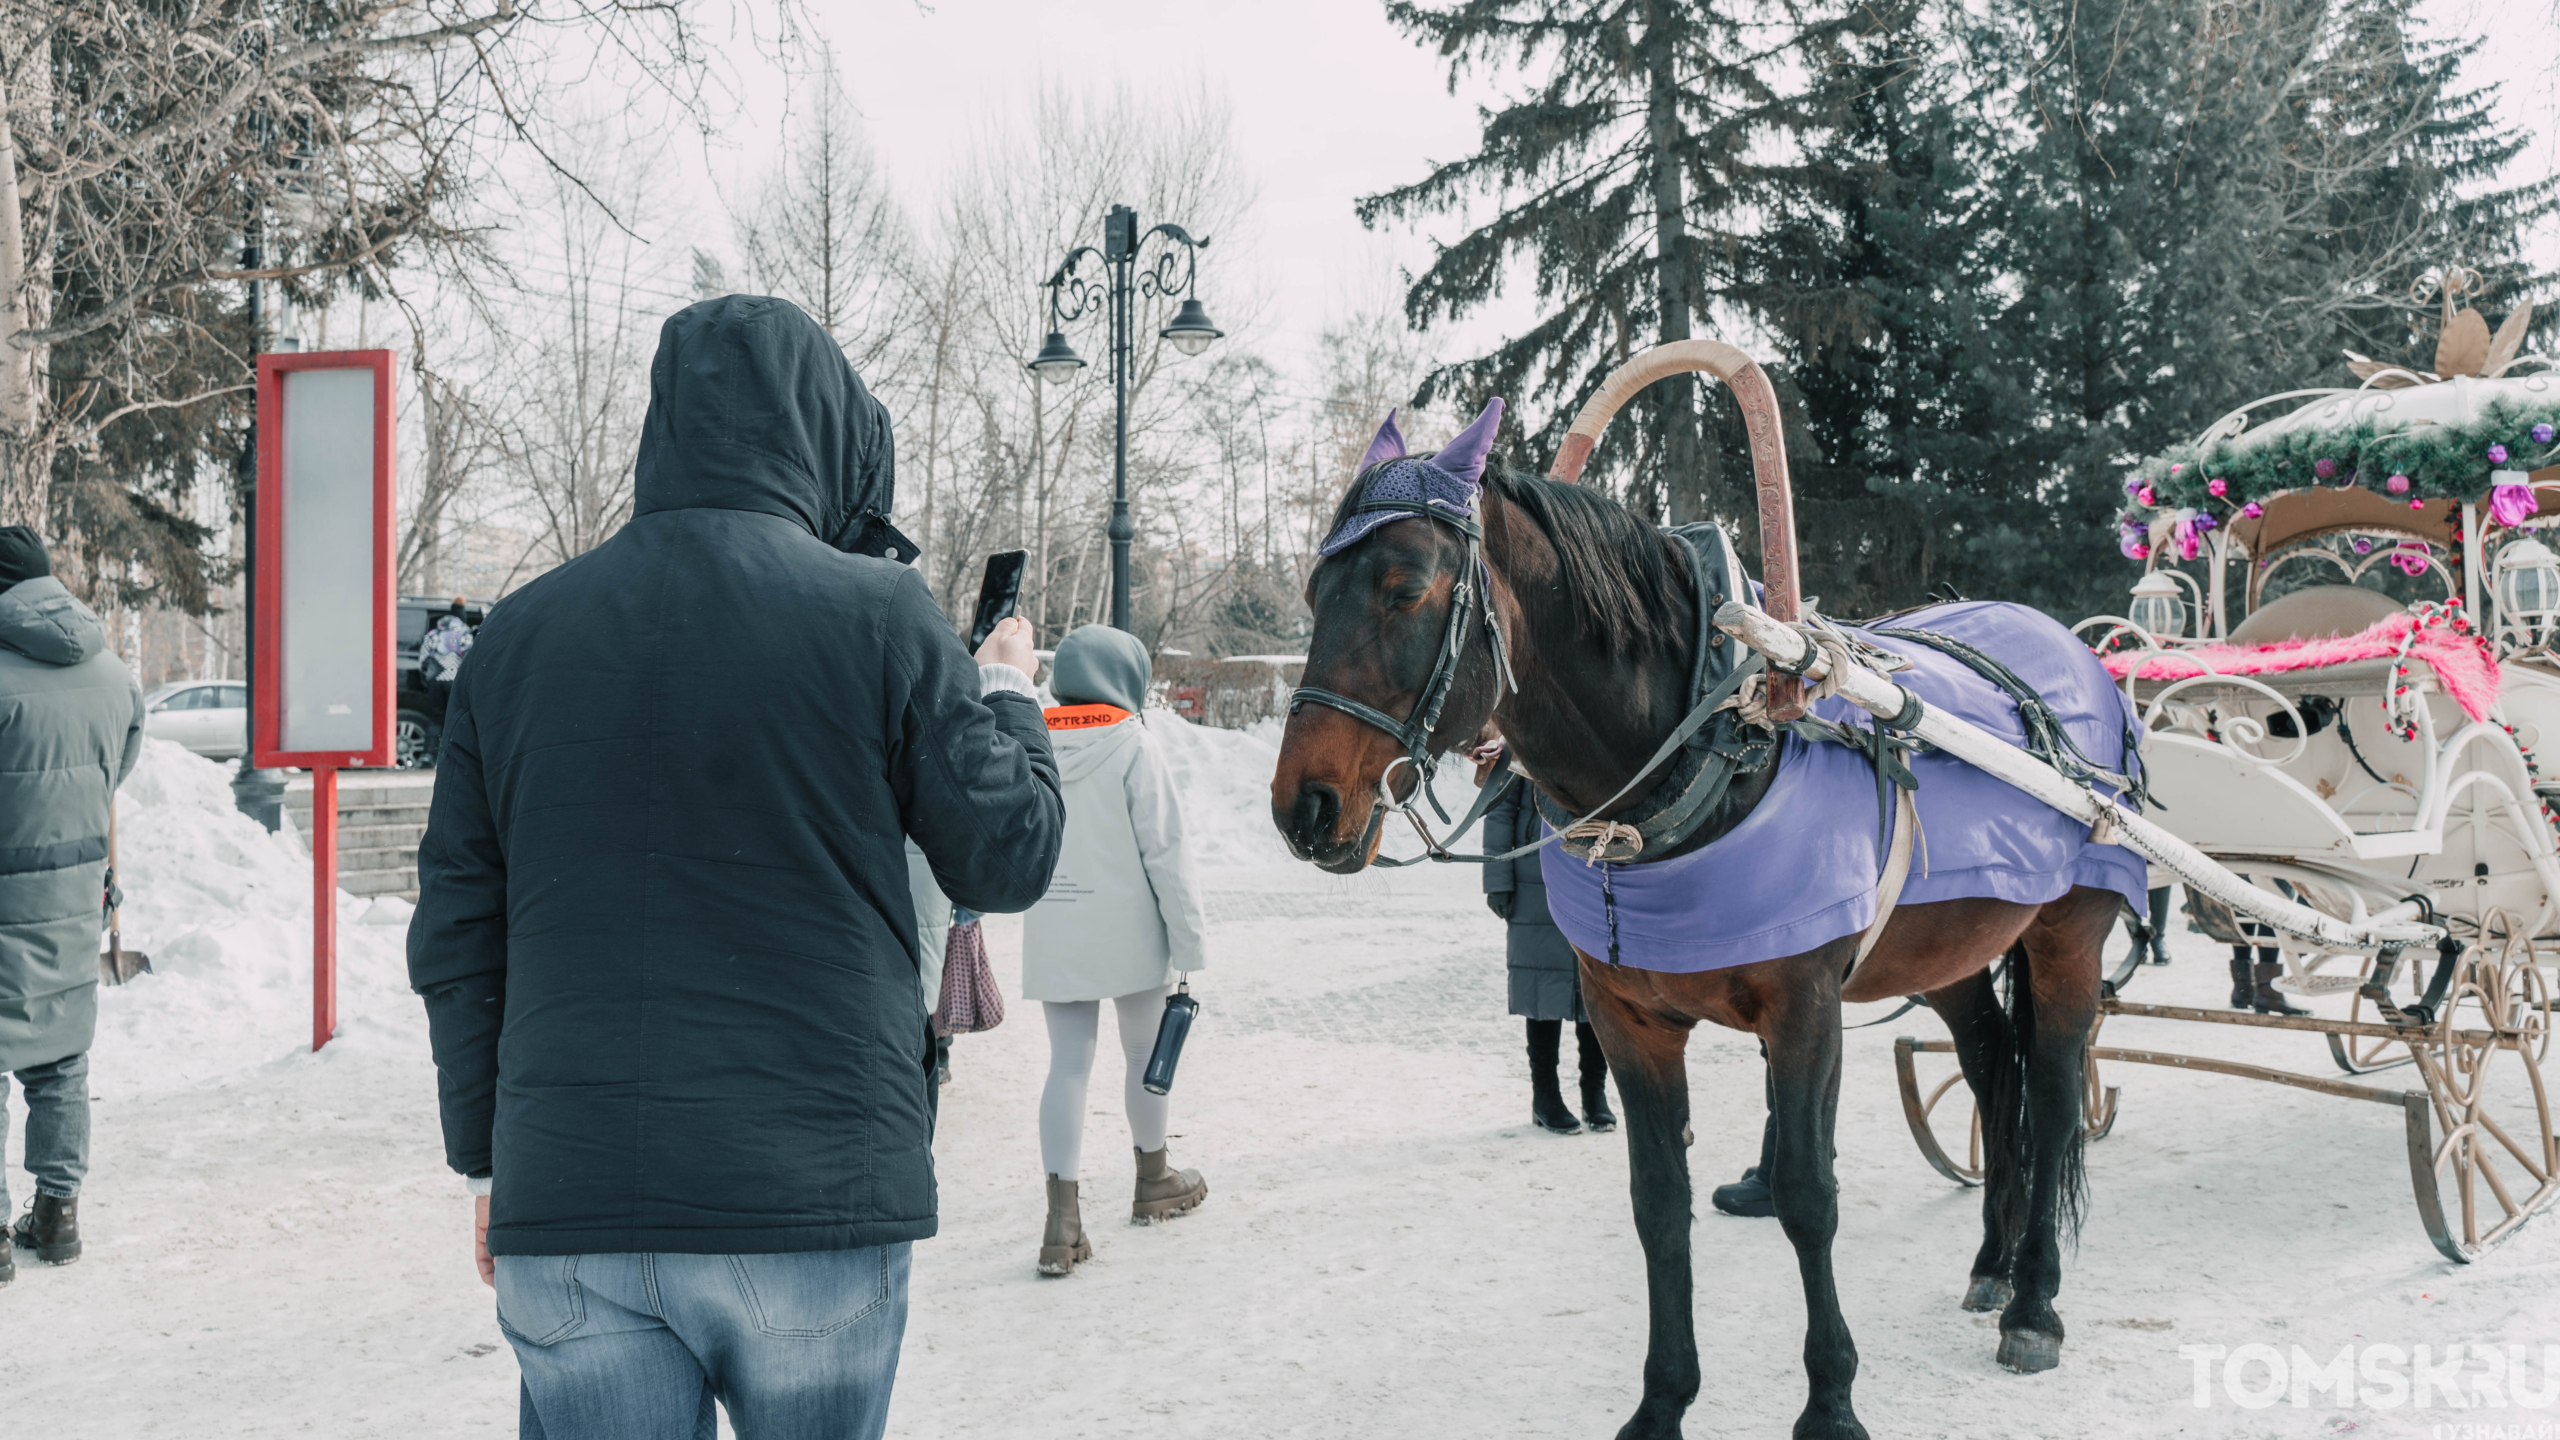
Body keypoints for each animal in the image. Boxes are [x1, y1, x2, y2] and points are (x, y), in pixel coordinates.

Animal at [1264, 340, 2119, 1424]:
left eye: (1405, 586)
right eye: (1311, 593)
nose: (1304, 806)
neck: (1708, 750)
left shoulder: (1805, 1008)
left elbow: (1806, 1194)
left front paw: (1830, 1399)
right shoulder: (1628, 1019)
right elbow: (1657, 1203)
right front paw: (1664, 1399)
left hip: (2065, 930)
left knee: (2048, 1088)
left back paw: (2035, 1299)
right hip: (1954, 949)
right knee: (1991, 1067)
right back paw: (1995, 1263)